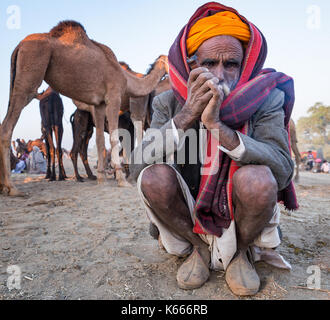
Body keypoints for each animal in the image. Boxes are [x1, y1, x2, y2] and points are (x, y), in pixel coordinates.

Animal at [0, 20, 169, 195]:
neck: (128, 79)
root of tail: (19, 47)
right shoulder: (113, 96)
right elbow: (114, 138)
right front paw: (122, 180)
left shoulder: (99, 104)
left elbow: (101, 140)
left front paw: (101, 179)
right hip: (28, 81)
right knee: (7, 127)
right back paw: (12, 188)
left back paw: (5, 186)